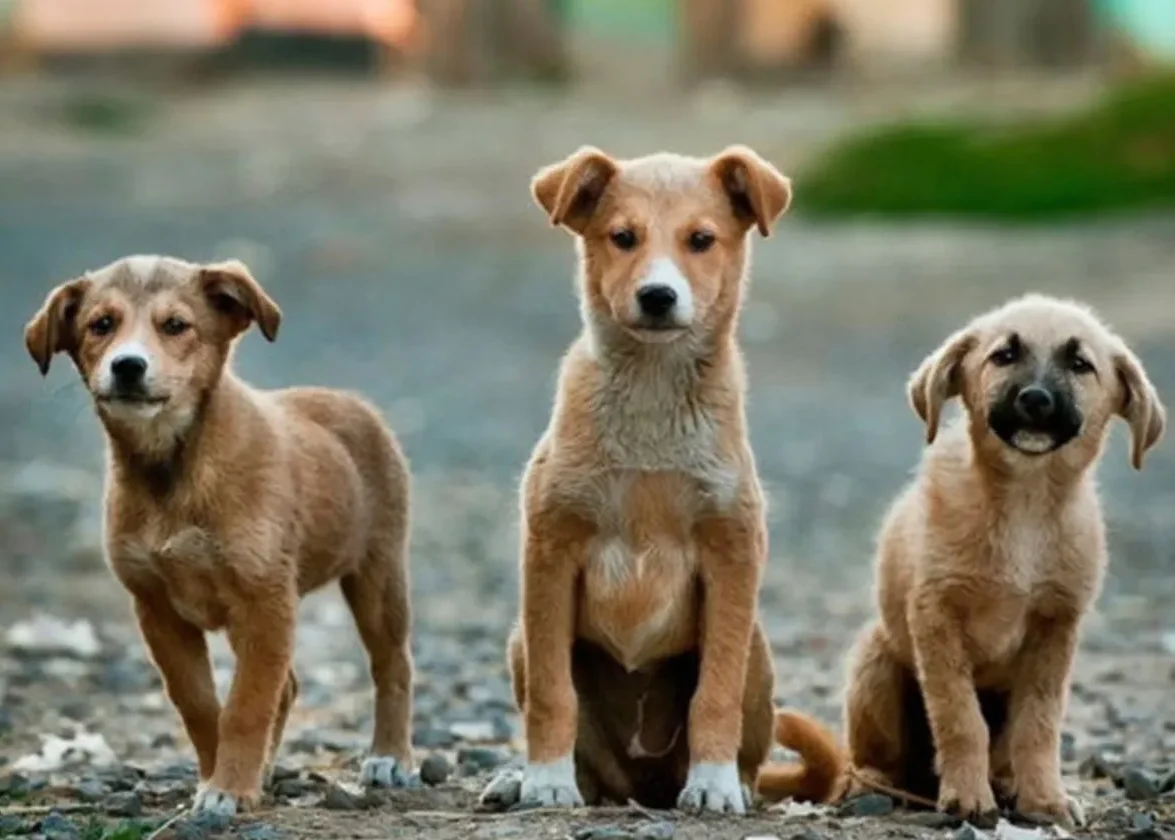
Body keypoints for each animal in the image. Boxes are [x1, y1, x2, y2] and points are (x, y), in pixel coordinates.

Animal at [22, 258, 418, 822]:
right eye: (101, 325)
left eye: (175, 326)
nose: (128, 366)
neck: (173, 469)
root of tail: (350, 400)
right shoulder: (158, 609)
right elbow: (201, 705)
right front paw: (221, 778)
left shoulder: (264, 601)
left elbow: (247, 705)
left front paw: (229, 786)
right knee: (288, 686)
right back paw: (268, 769)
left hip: (378, 574)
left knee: (392, 665)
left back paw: (389, 757)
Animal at [477, 144, 836, 812]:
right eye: (623, 237)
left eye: (701, 240)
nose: (658, 296)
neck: (651, 392)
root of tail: (641, 785)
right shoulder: (549, 551)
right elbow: (552, 694)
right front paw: (544, 779)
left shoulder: (731, 554)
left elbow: (714, 694)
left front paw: (714, 783)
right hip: (520, 640)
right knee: (585, 755)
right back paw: (528, 780)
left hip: (758, 651)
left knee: (745, 745)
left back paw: (729, 783)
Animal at [756, 293, 1160, 827]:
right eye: (1003, 355)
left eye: (1080, 364)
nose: (1035, 399)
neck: (1025, 504)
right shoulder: (936, 616)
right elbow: (960, 717)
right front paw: (968, 797)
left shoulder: (1055, 628)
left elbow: (1040, 724)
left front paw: (1044, 799)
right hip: (875, 662)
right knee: (871, 760)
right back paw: (875, 785)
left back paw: (1006, 784)